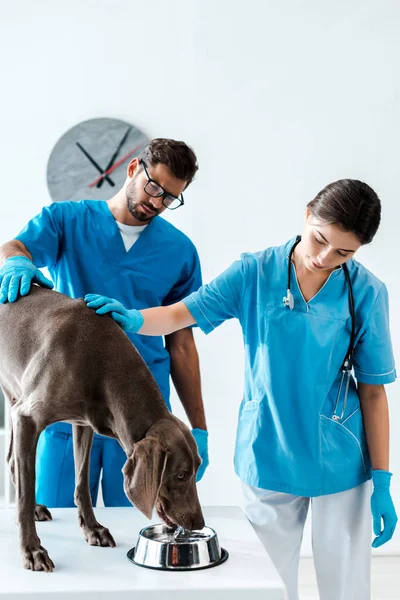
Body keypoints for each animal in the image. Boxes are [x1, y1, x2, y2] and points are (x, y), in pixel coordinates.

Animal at [0, 286, 205, 572]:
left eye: (198, 468)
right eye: (180, 475)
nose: (199, 523)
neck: (100, 359)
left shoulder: (83, 423)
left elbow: (82, 482)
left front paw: (92, 529)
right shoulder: (27, 417)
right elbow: (25, 492)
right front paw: (32, 549)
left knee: (11, 459)